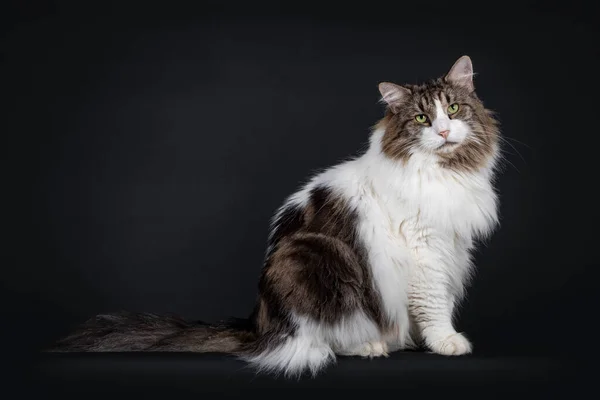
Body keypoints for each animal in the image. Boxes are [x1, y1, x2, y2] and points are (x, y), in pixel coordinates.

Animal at [51, 55, 502, 378]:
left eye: (454, 109)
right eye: (422, 118)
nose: (443, 131)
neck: (443, 173)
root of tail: (259, 323)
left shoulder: (451, 248)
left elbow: (439, 301)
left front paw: (427, 339)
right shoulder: (425, 250)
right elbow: (434, 303)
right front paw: (446, 341)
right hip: (316, 258)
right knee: (323, 337)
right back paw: (369, 346)